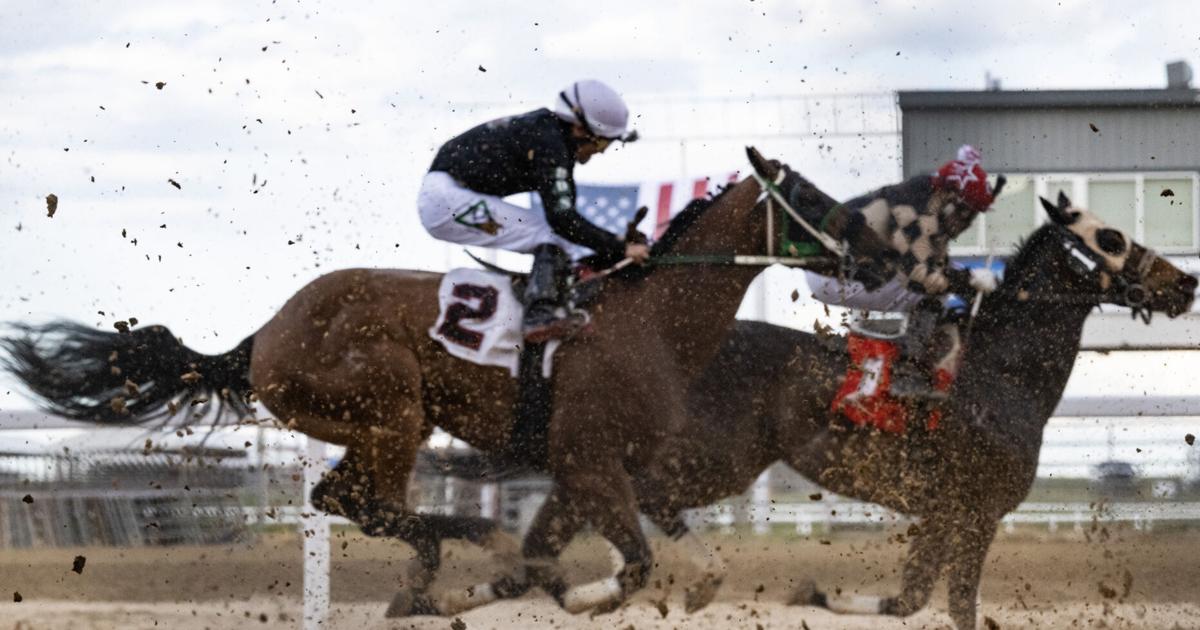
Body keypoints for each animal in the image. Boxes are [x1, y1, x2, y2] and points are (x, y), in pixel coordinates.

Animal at [1, 147, 830, 616]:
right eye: (812, 202)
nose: (856, 244)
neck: (644, 317)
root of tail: (263, 335)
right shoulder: (591, 462)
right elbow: (624, 562)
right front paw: (563, 585)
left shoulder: (586, 470)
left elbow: (574, 557)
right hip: (389, 407)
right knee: (363, 501)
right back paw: (465, 545)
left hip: (368, 422)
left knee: (341, 499)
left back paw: (437, 566)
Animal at [616, 192, 1195, 629]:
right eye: (1112, 238)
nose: (1184, 283)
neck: (1000, 374)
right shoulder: (975, 513)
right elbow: (952, 605)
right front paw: (811, 594)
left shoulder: (942, 514)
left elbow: (912, 599)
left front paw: (815, 595)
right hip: (722, 456)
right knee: (647, 494)